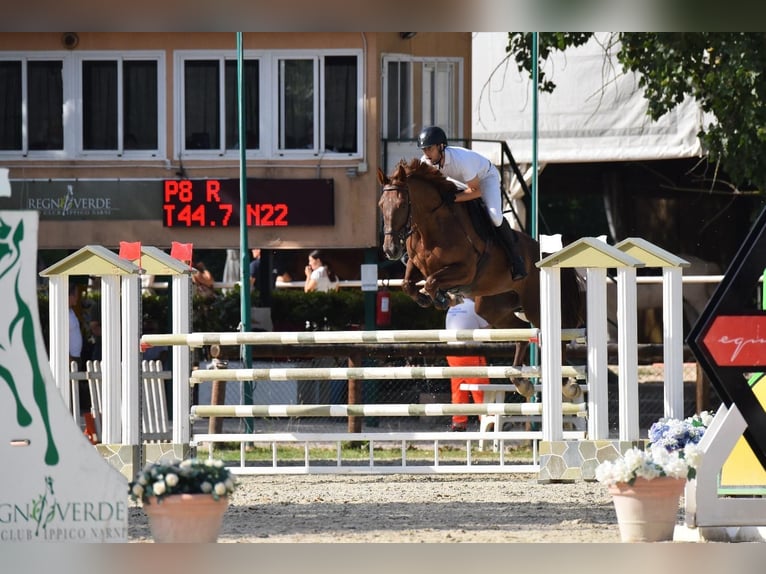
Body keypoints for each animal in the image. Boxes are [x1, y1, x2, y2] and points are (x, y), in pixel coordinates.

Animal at [380, 160, 588, 398]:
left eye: (401, 205)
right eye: (381, 206)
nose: (390, 250)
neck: (431, 226)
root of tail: (546, 255)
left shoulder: (466, 269)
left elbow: (432, 281)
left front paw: (443, 298)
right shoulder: (416, 264)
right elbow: (408, 284)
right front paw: (429, 298)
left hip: (535, 306)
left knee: (556, 335)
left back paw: (566, 384)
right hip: (492, 307)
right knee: (520, 331)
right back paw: (521, 380)